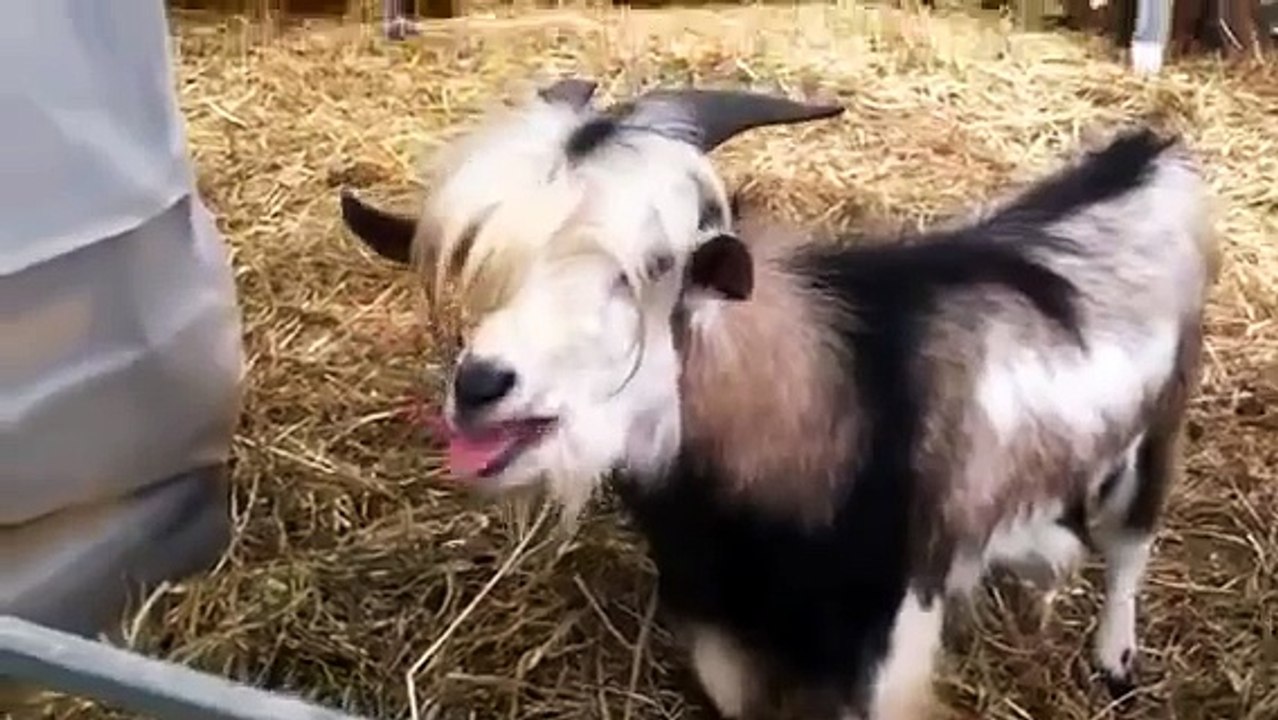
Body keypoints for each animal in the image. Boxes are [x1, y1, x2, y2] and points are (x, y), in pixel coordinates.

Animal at [336, 79, 1219, 719]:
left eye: (653, 268)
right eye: (489, 264)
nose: (481, 385)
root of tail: (1149, 156)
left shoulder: (887, 638)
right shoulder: (719, 628)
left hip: (1160, 425)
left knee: (1130, 542)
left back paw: (1113, 656)